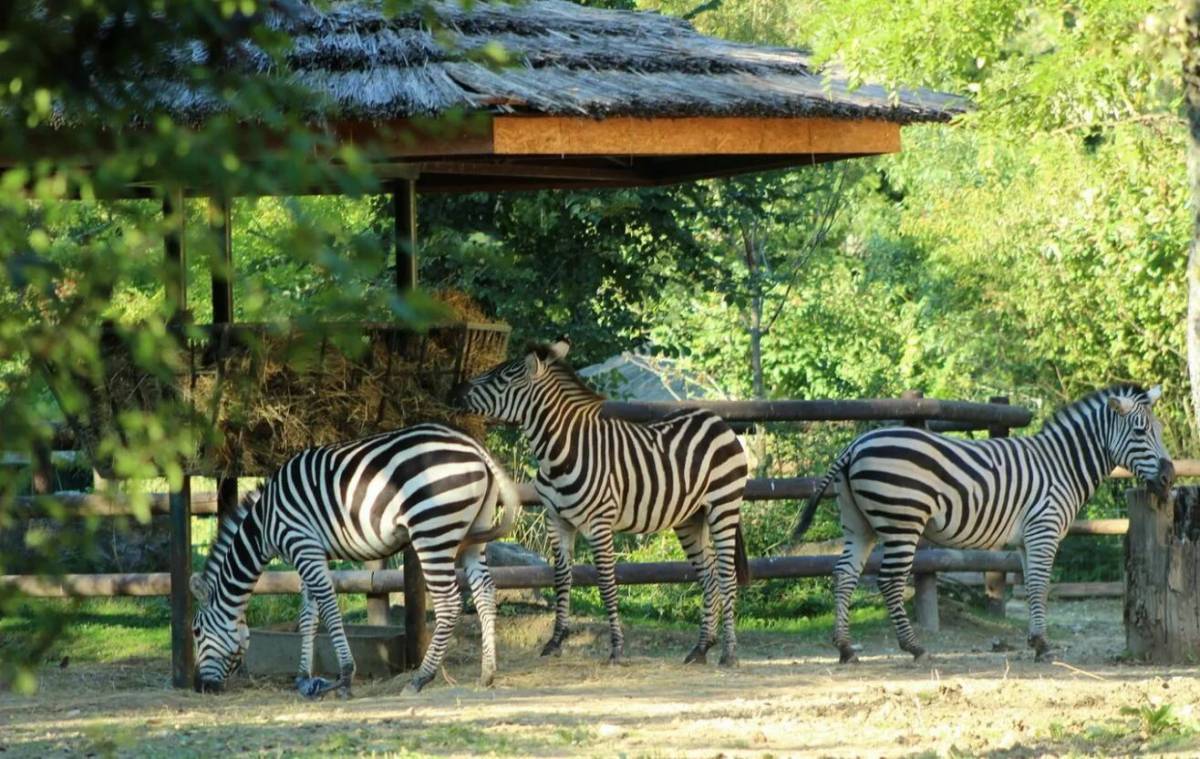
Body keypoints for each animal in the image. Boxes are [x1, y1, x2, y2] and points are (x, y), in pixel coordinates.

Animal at [192, 425, 520, 696]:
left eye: (196, 632)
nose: (200, 687)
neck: (263, 525)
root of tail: (473, 445)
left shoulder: (302, 544)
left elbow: (329, 610)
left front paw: (345, 677)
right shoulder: (311, 553)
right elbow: (308, 616)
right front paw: (304, 679)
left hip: (432, 530)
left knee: (449, 603)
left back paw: (420, 678)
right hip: (473, 533)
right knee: (485, 592)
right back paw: (487, 673)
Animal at [451, 338, 748, 662]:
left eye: (502, 378)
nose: (455, 389)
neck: (560, 454)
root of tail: (716, 419)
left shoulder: (599, 523)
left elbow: (606, 582)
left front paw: (616, 647)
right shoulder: (557, 520)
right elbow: (561, 577)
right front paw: (555, 641)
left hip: (723, 506)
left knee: (726, 575)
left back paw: (729, 652)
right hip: (690, 517)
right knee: (708, 577)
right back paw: (701, 647)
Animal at [792, 384, 1176, 662]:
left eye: (1159, 430)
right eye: (1140, 432)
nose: (1170, 477)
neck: (1062, 465)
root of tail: (856, 444)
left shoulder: (1028, 539)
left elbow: (1033, 586)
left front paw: (1034, 641)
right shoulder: (1044, 530)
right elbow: (1040, 586)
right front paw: (1044, 646)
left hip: (858, 524)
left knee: (843, 574)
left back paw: (845, 648)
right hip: (903, 521)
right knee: (890, 581)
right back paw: (914, 647)